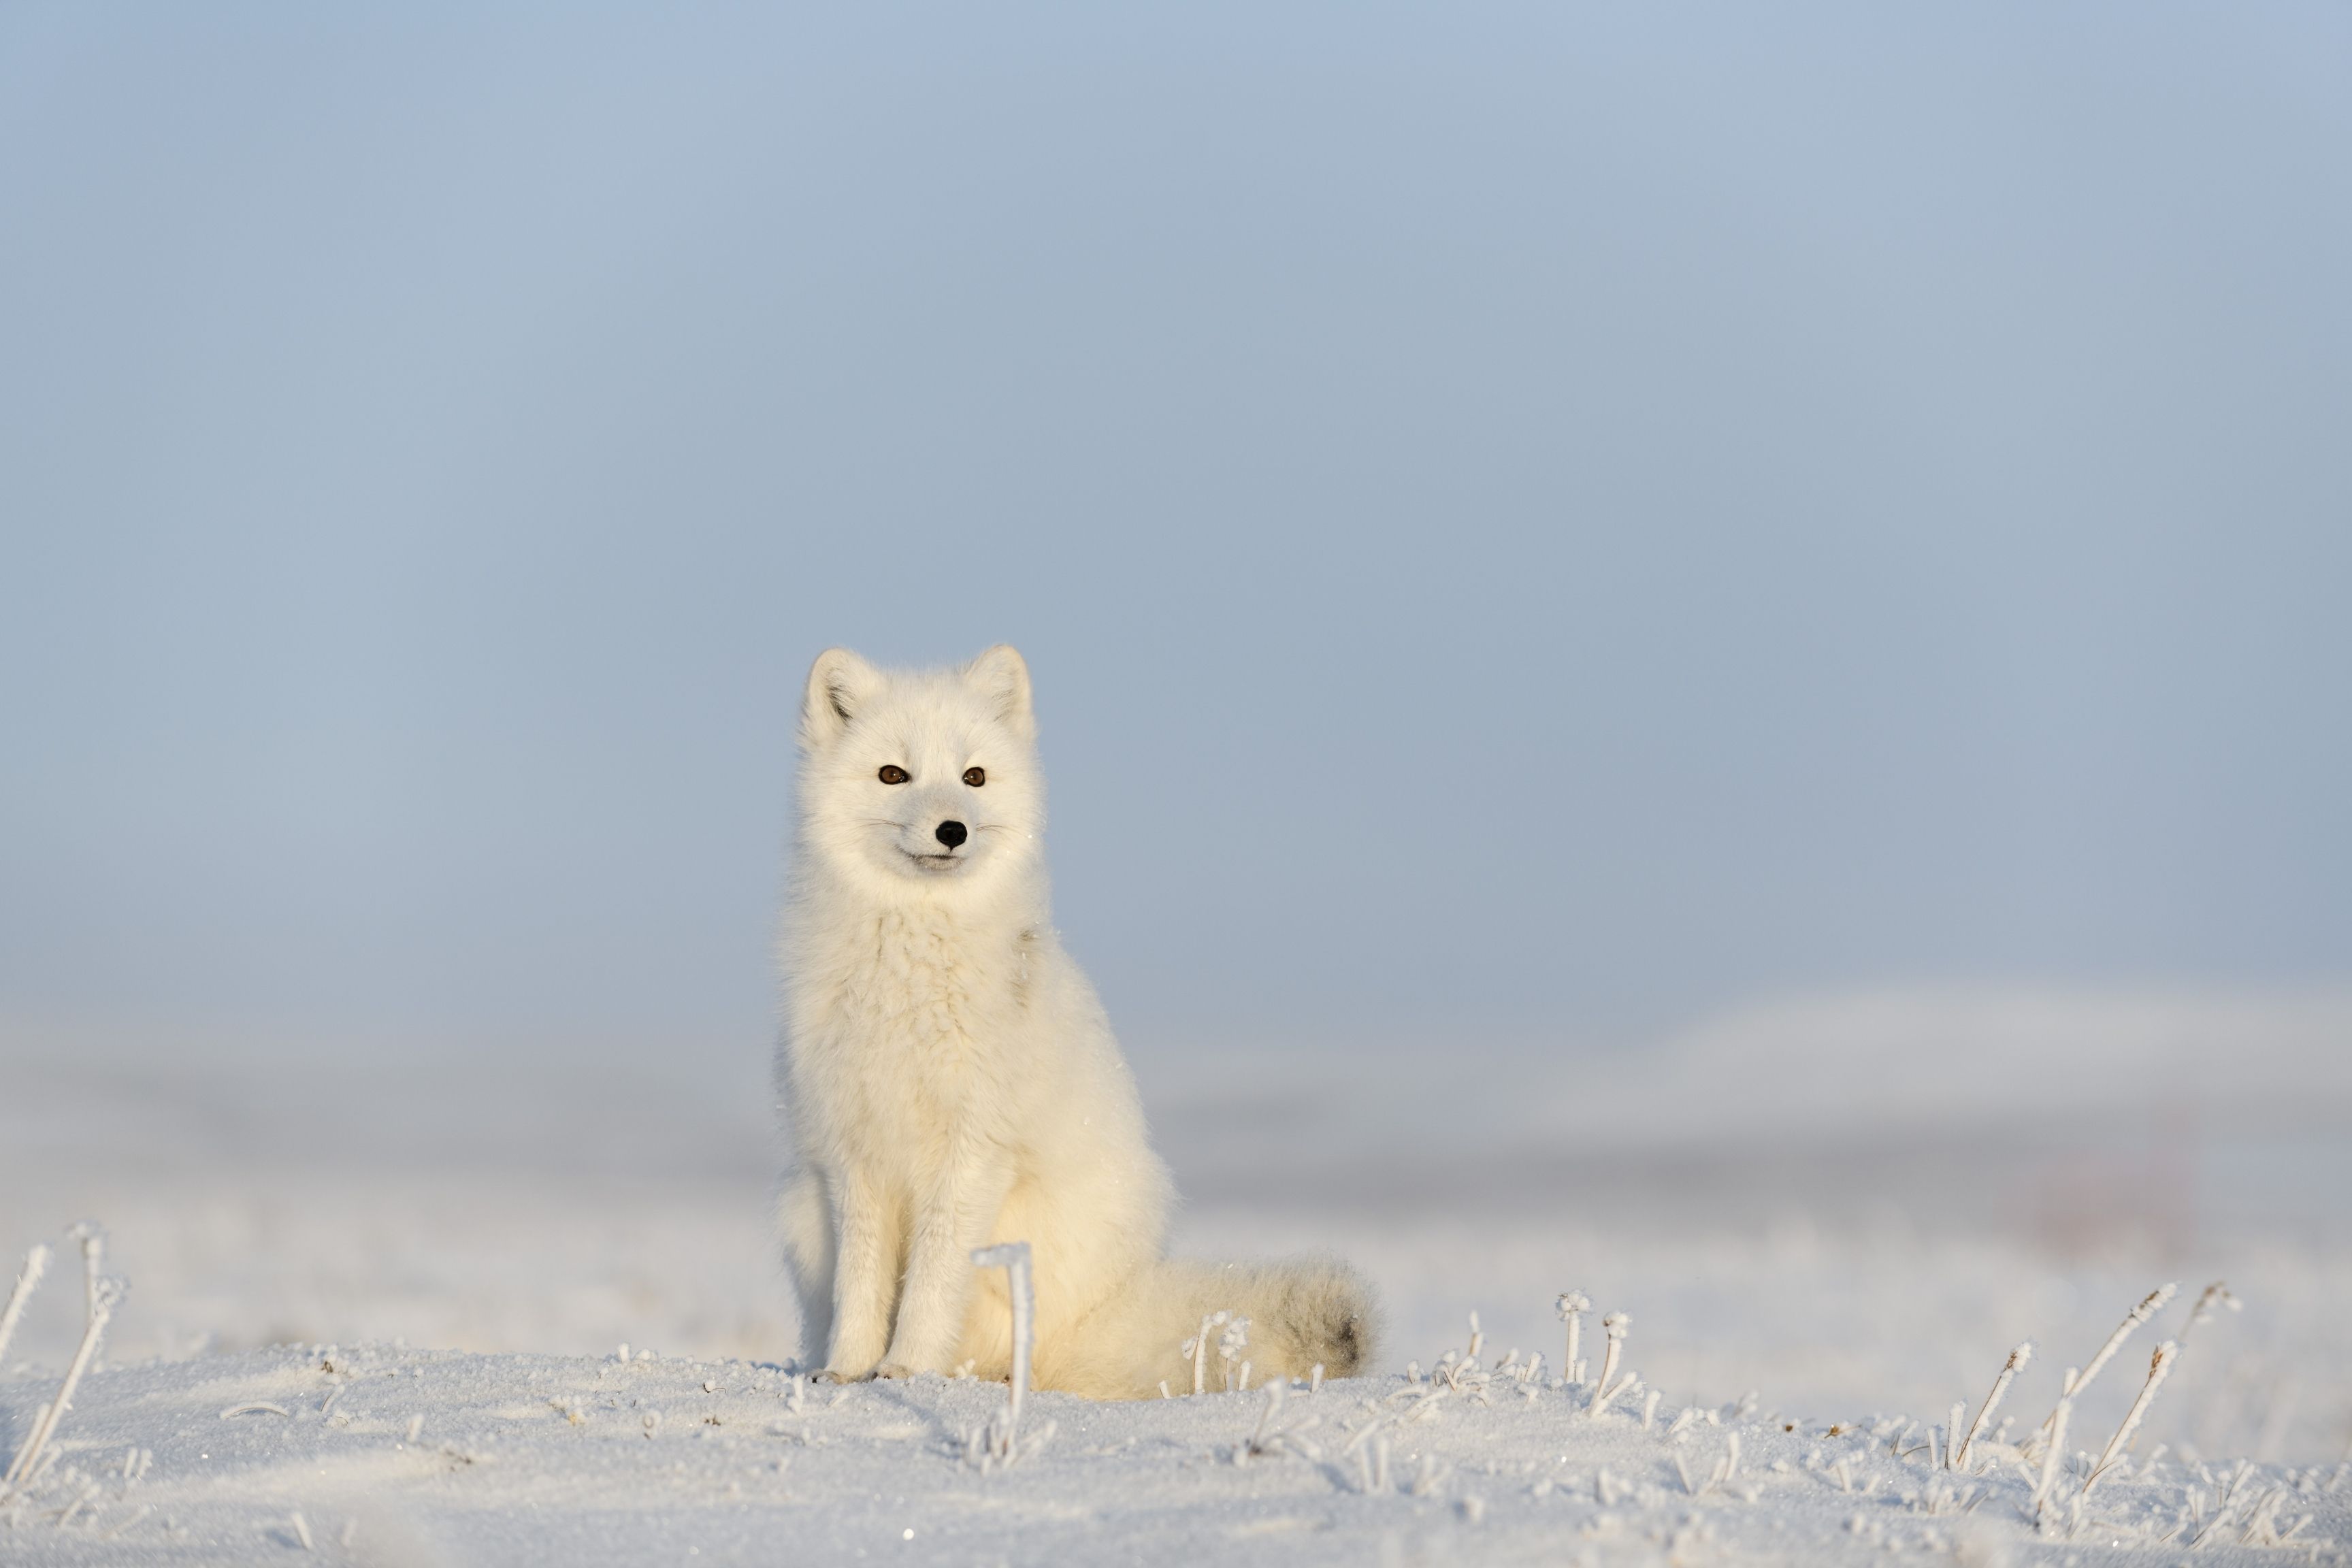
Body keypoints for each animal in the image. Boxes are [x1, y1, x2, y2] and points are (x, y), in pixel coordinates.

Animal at [774, 644, 1376, 1398]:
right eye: (893, 774)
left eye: (973, 777)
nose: (953, 830)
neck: (911, 974)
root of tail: (1103, 1317)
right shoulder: (854, 1151)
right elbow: (860, 1285)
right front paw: (847, 1370)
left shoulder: (973, 1149)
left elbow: (933, 1279)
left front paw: (907, 1368)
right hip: (800, 1210)